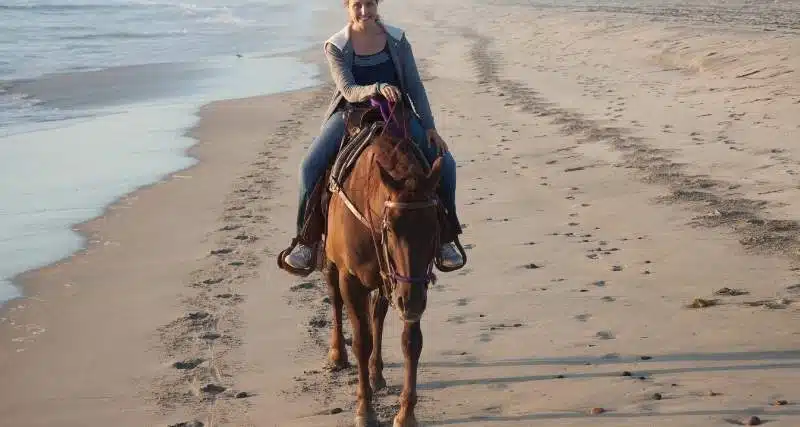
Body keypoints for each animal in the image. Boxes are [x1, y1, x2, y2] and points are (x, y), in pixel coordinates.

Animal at [322, 101, 444, 427]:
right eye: (390, 229)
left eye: (435, 226)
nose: (410, 301)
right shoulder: (351, 280)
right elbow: (361, 341)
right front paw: (365, 410)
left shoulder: (409, 284)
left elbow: (410, 341)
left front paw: (406, 414)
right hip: (333, 264)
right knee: (335, 300)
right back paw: (337, 354)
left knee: (377, 314)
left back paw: (376, 374)